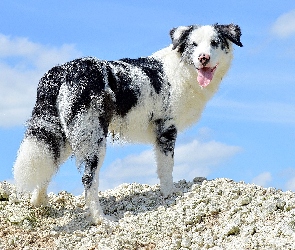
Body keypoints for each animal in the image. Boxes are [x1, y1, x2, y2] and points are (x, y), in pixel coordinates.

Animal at [13, 23, 243, 223]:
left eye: (214, 43)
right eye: (193, 44)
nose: (203, 58)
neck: (182, 69)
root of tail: (61, 70)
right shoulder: (166, 130)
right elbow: (167, 169)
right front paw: (170, 194)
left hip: (63, 135)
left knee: (47, 166)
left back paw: (41, 204)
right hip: (94, 140)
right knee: (88, 180)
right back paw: (101, 219)